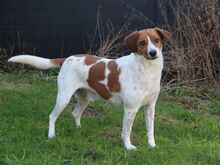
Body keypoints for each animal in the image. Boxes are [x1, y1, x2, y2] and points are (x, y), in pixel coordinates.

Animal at [8, 27, 171, 150]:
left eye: (156, 40)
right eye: (142, 43)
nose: (153, 53)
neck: (147, 70)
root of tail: (67, 58)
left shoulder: (150, 107)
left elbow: (150, 129)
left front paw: (152, 145)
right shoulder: (130, 109)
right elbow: (127, 131)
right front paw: (128, 147)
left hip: (84, 98)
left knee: (75, 113)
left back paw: (78, 129)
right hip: (64, 97)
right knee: (52, 116)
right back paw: (51, 136)